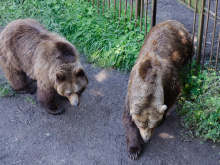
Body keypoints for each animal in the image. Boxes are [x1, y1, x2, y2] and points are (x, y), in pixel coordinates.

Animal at [123, 20, 193, 159]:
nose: (146, 139)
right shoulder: (131, 94)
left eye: (152, 125)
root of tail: (172, 21)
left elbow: (172, 96)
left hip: (186, 45)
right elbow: (128, 119)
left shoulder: (170, 81)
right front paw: (134, 150)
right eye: (141, 124)